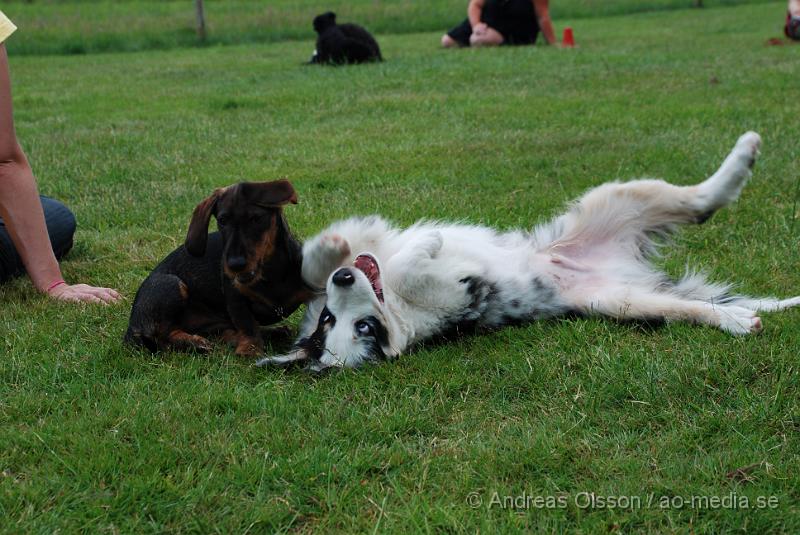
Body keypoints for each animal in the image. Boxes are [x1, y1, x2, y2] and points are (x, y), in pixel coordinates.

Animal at [258, 132, 800, 370]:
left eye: (342, 320)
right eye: (355, 327)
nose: (346, 279)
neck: (391, 300)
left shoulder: (370, 245)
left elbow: (311, 263)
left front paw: (333, 247)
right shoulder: (463, 295)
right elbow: (416, 270)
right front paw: (425, 247)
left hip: (615, 200)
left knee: (696, 198)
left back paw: (744, 151)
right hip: (621, 301)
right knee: (690, 296)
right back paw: (735, 320)